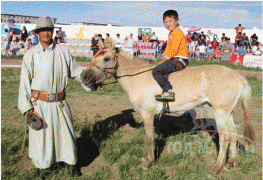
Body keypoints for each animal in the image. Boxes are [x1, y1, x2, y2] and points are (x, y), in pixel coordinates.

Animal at [82, 39, 256, 177]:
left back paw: (216, 168)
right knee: (233, 134)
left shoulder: (147, 114)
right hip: (228, 113)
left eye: (107, 58)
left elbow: (149, 138)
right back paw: (229, 163)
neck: (139, 77)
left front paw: (148, 163)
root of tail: (239, 77)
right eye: (94, 55)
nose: (84, 76)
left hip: (220, 112)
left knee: (225, 137)